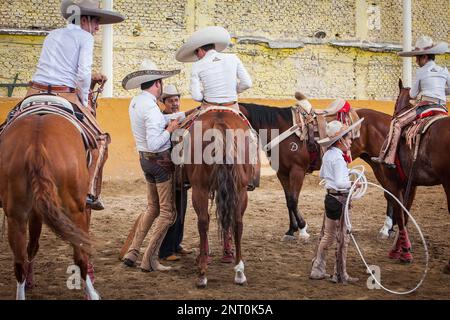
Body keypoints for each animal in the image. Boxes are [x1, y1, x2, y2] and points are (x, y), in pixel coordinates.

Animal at [0, 110, 99, 300]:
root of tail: (36, 146)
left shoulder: (34, 212)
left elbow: (32, 246)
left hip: (16, 215)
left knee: (20, 261)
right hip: (75, 210)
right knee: (81, 256)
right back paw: (93, 293)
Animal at [177, 108, 253, 288]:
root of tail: (219, 121)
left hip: (200, 188)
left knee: (204, 222)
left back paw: (203, 272)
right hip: (240, 189)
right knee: (237, 223)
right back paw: (239, 272)